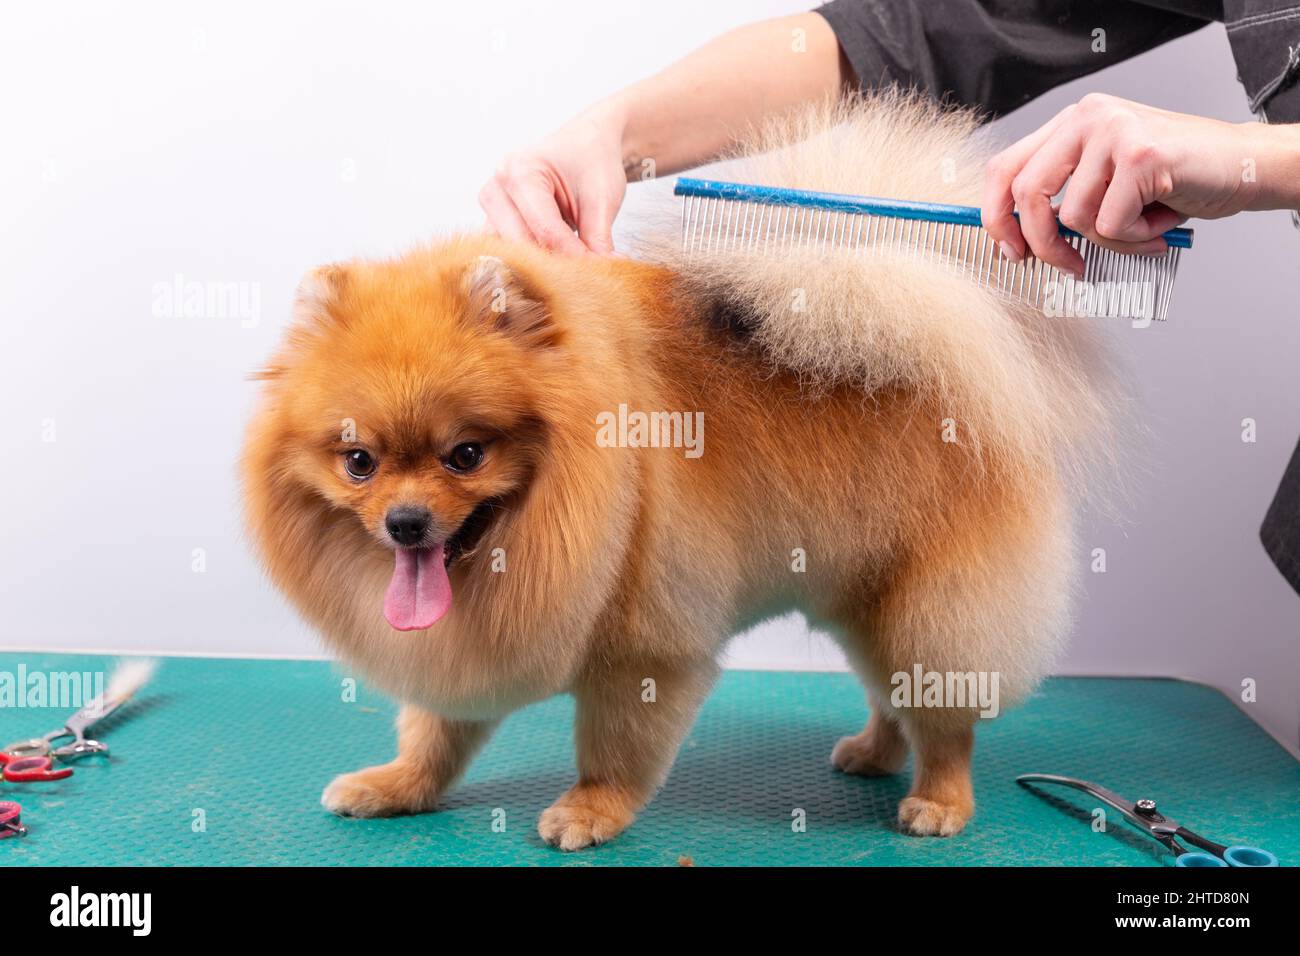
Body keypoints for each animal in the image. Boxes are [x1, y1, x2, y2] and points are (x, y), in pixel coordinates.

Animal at [241, 93, 1118, 848]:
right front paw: (396, 784)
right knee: (888, 690)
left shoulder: (642, 645)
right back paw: (874, 751)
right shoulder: (467, 644)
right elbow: (436, 729)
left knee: (942, 711)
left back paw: (938, 797)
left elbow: (614, 744)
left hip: (931, 601)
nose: (406, 523)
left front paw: (591, 810)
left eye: (466, 454)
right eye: (359, 462)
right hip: (866, 587)